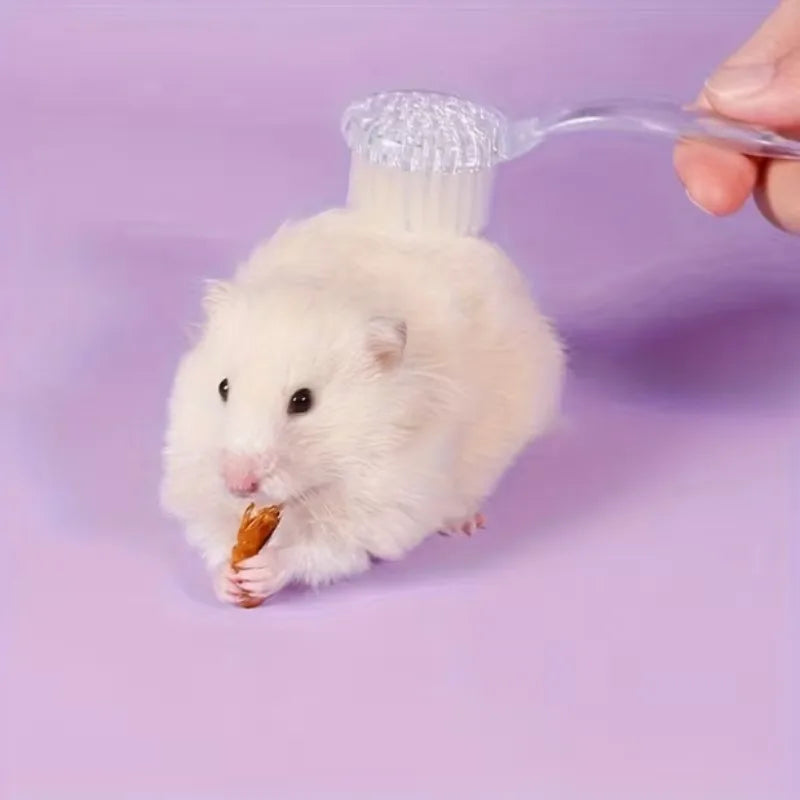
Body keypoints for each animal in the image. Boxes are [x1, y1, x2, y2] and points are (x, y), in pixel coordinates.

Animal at [160, 208, 565, 604]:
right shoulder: (195, 477)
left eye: (303, 401)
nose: (238, 483)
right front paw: (227, 581)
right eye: (223, 387)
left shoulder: (385, 506)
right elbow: (214, 533)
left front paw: (260, 571)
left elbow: (325, 549)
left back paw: (464, 524)